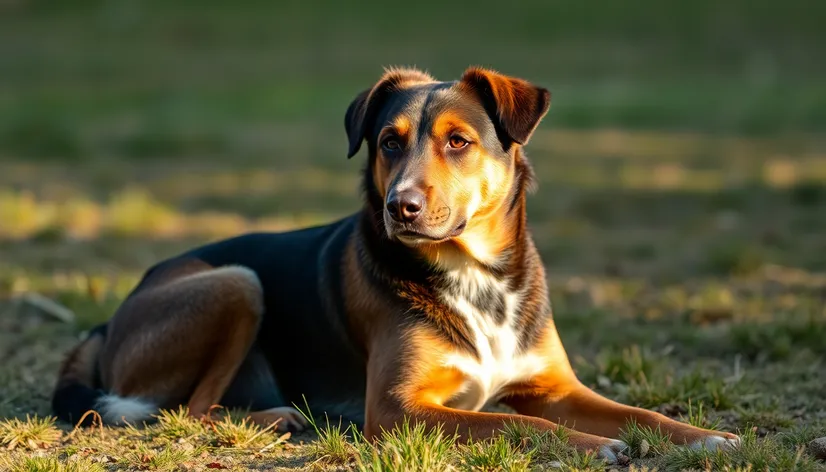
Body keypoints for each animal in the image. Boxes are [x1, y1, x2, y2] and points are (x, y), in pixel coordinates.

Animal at [51, 67, 736, 464]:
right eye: (388, 142)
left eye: (459, 141)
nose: (399, 207)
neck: (475, 278)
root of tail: (106, 322)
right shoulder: (398, 410)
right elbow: (514, 426)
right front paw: (598, 447)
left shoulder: (553, 389)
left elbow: (640, 413)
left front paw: (710, 437)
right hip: (236, 282)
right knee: (192, 407)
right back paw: (277, 417)